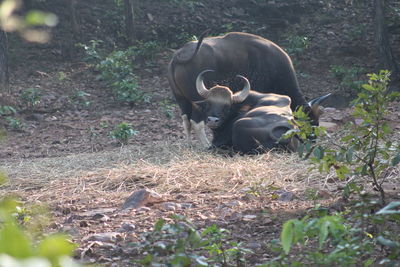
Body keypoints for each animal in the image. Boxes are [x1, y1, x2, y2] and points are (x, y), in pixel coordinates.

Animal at [167, 32, 330, 149]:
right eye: (311, 122)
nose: (312, 140)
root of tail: (179, 55)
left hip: (181, 99)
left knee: (186, 120)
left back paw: (189, 145)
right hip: (196, 98)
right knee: (196, 122)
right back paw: (205, 145)